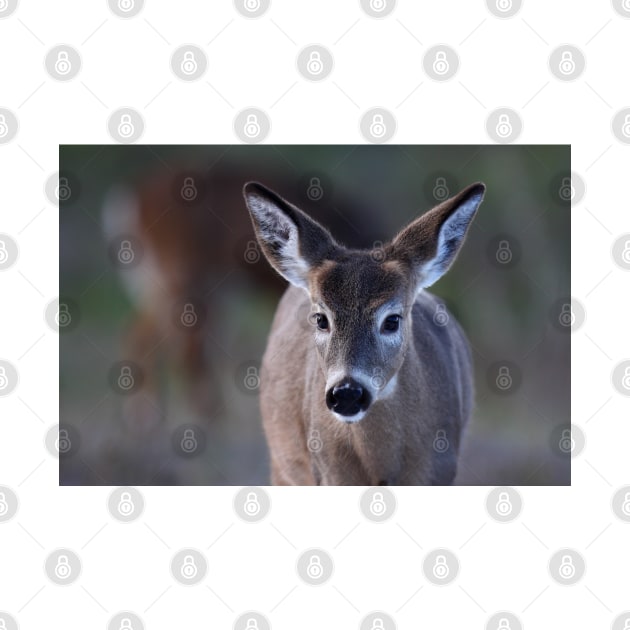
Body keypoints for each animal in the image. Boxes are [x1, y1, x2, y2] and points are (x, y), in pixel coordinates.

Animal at [243, 180, 488, 486]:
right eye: (321, 319)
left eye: (392, 320)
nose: (347, 393)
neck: (380, 466)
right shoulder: (329, 473)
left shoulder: (439, 470)